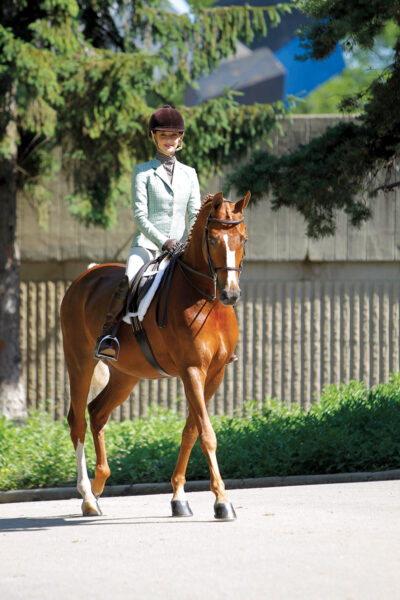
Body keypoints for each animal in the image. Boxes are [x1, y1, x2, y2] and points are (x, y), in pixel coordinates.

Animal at [60, 191, 250, 516]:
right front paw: (222, 501)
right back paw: (87, 497)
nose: (231, 294)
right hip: (80, 363)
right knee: (78, 422)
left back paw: (99, 485)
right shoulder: (191, 370)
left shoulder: (215, 373)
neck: (206, 299)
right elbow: (207, 434)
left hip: (126, 376)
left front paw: (179, 497)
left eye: (243, 239)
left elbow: (191, 431)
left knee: (97, 413)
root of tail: (87, 275)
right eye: (213, 240)